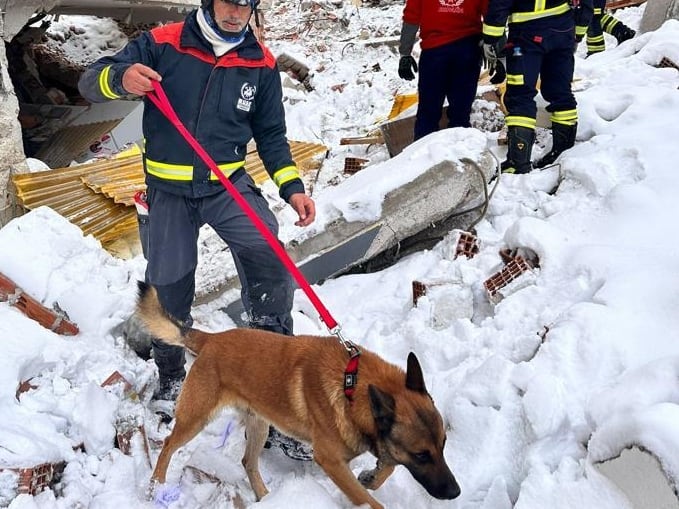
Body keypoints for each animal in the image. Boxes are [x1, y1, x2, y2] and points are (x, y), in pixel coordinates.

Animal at [135, 282, 460, 508]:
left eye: (444, 445)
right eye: (421, 455)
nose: (455, 492)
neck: (350, 385)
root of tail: (211, 339)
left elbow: (386, 468)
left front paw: (372, 476)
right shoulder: (331, 462)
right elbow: (369, 499)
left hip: (259, 423)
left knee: (248, 462)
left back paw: (266, 498)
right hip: (196, 419)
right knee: (167, 445)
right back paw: (155, 486)